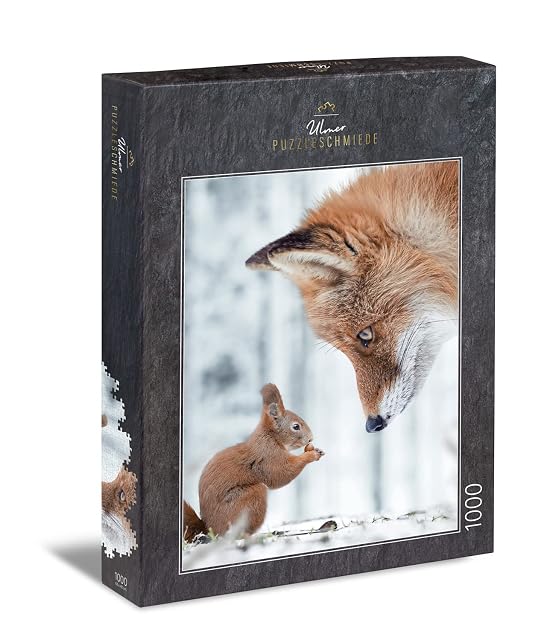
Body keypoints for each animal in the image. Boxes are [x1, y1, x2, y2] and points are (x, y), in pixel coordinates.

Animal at [183, 383, 324, 542]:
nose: (311, 438)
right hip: (251, 497)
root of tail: (210, 530)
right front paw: (311, 455)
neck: (270, 436)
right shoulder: (268, 456)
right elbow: (280, 473)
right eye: (296, 426)